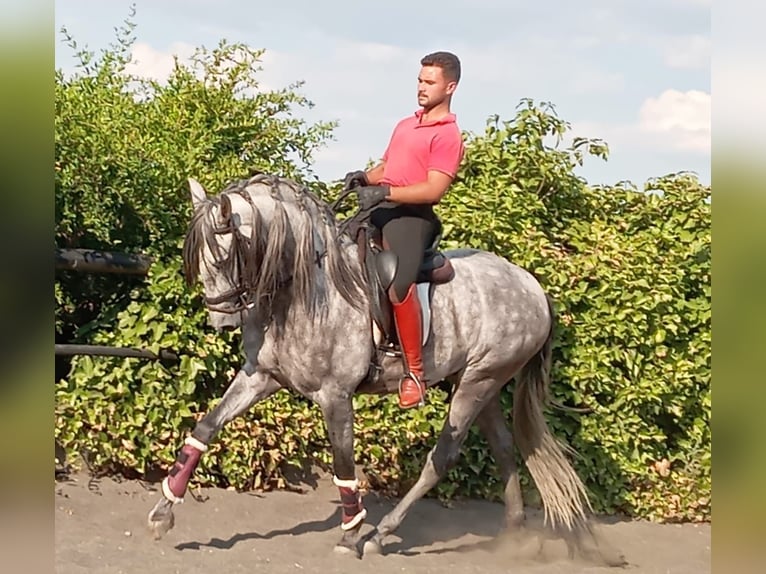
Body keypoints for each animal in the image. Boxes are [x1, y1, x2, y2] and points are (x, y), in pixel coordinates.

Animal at [147, 171, 628, 568]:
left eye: (225, 254)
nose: (221, 321)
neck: (303, 291)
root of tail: (532, 286)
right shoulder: (260, 377)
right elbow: (206, 427)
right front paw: (163, 511)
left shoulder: (335, 396)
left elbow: (344, 464)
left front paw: (350, 534)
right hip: (480, 383)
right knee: (505, 448)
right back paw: (515, 536)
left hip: (479, 382)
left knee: (442, 457)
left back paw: (381, 534)